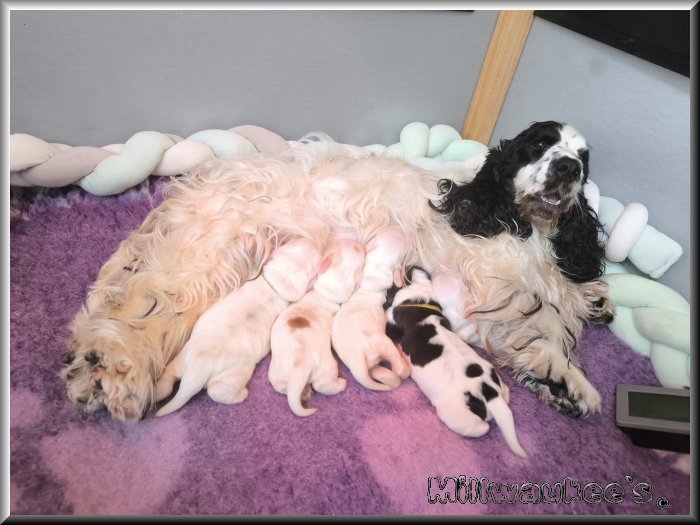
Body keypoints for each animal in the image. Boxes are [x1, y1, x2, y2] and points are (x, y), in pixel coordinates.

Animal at [153, 238, 324, 417]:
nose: (311, 240)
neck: (277, 282)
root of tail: (196, 370)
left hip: (194, 363)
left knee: (175, 380)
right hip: (216, 368)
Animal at [268, 238, 365, 416]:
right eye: (357, 249)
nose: (357, 242)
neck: (325, 292)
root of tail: (300, 367)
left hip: (278, 374)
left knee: (288, 387)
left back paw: (307, 392)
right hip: (324, 369)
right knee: (323, 386)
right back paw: (340, 384)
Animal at [331, 227, 412, 391]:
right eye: (404, 244)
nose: (400, 228)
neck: (376, 265)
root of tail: (359, 361)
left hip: (371, 366)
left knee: (386, 375)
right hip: (383, 344)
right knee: (398, 367)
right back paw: (403, 363)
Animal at [385, 266, 527, 457]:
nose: (410, 265)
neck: (419, 295)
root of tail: (489, 393)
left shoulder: (392, 319)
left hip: (454, 412)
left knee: (481, 427)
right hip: (495, 378)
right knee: (506, 392)